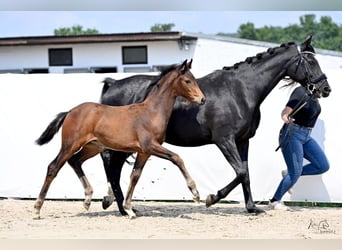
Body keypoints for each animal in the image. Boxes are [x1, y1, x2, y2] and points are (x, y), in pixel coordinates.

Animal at [99, 34, 332, 215]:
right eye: (310, 62)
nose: (326, 88)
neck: (240, 90)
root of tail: (114, 84)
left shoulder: (243, 141)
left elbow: (246, 172)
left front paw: (251, 207)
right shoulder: (224, 140)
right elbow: (240, 172)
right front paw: (212, 198)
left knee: (114, 167)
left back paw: (120, 206)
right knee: (111, 164)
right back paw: (118, 206)